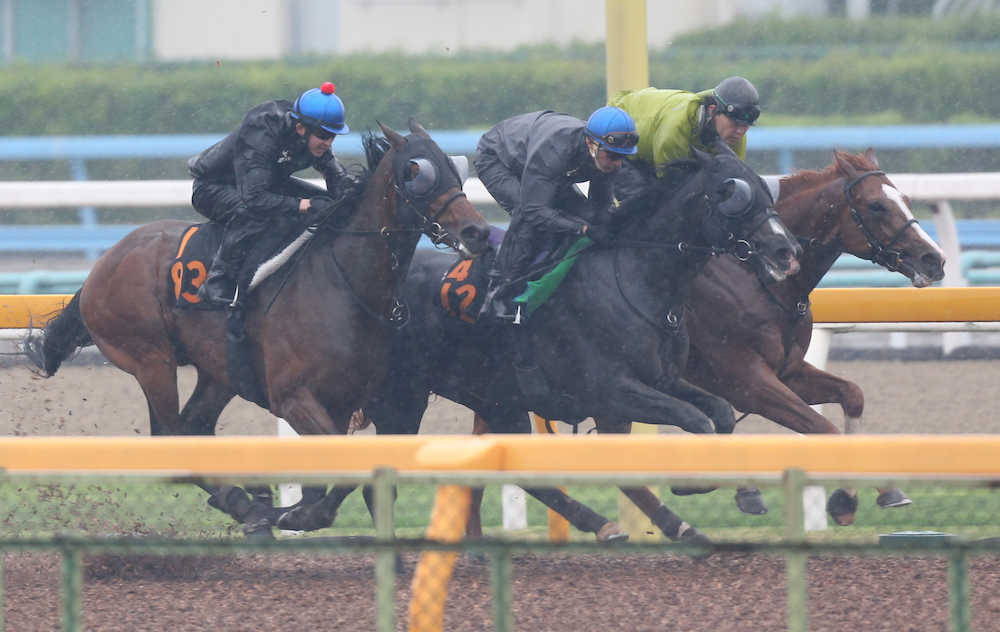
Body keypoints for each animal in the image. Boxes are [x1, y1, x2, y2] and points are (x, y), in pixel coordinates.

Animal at [23, 121, 492, 536]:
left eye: (455, 167)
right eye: (417, 172)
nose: (478, 231)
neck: (342, 280)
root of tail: (102, 266)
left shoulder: (345, 400)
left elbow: (349, 472)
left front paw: (299, 509)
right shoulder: (292, 396)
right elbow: (345, 469)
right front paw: (302, 514)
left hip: (220, 371)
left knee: (193, 427)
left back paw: (249, 499)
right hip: (150, 358)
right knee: (172, 437)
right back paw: (244, 503)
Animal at [276, 146, 804, 540]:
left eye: (765, 187)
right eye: (732, 193)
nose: (787, 250)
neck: (632, 276)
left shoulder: (660, 380)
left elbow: (718, 412)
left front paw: (736, 493)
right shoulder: (613, 391)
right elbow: (695, 419)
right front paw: (697, 484)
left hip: (495, 397)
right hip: (401, 396)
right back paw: (307, 513)